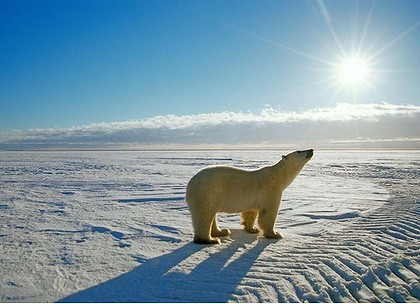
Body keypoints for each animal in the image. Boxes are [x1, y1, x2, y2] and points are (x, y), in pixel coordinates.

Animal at [185, 150, 314, 245]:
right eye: (299, 151)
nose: (311, 150)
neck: (277, 176)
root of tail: (189, 184)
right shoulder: (271, 190)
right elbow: (269, 213)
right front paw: (274, 234)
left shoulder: (255, 199)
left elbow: (251, 212)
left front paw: (252, 229)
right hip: (207, 192)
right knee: (204, 216)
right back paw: (210, 240)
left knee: (211, 215)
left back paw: (222, 231)